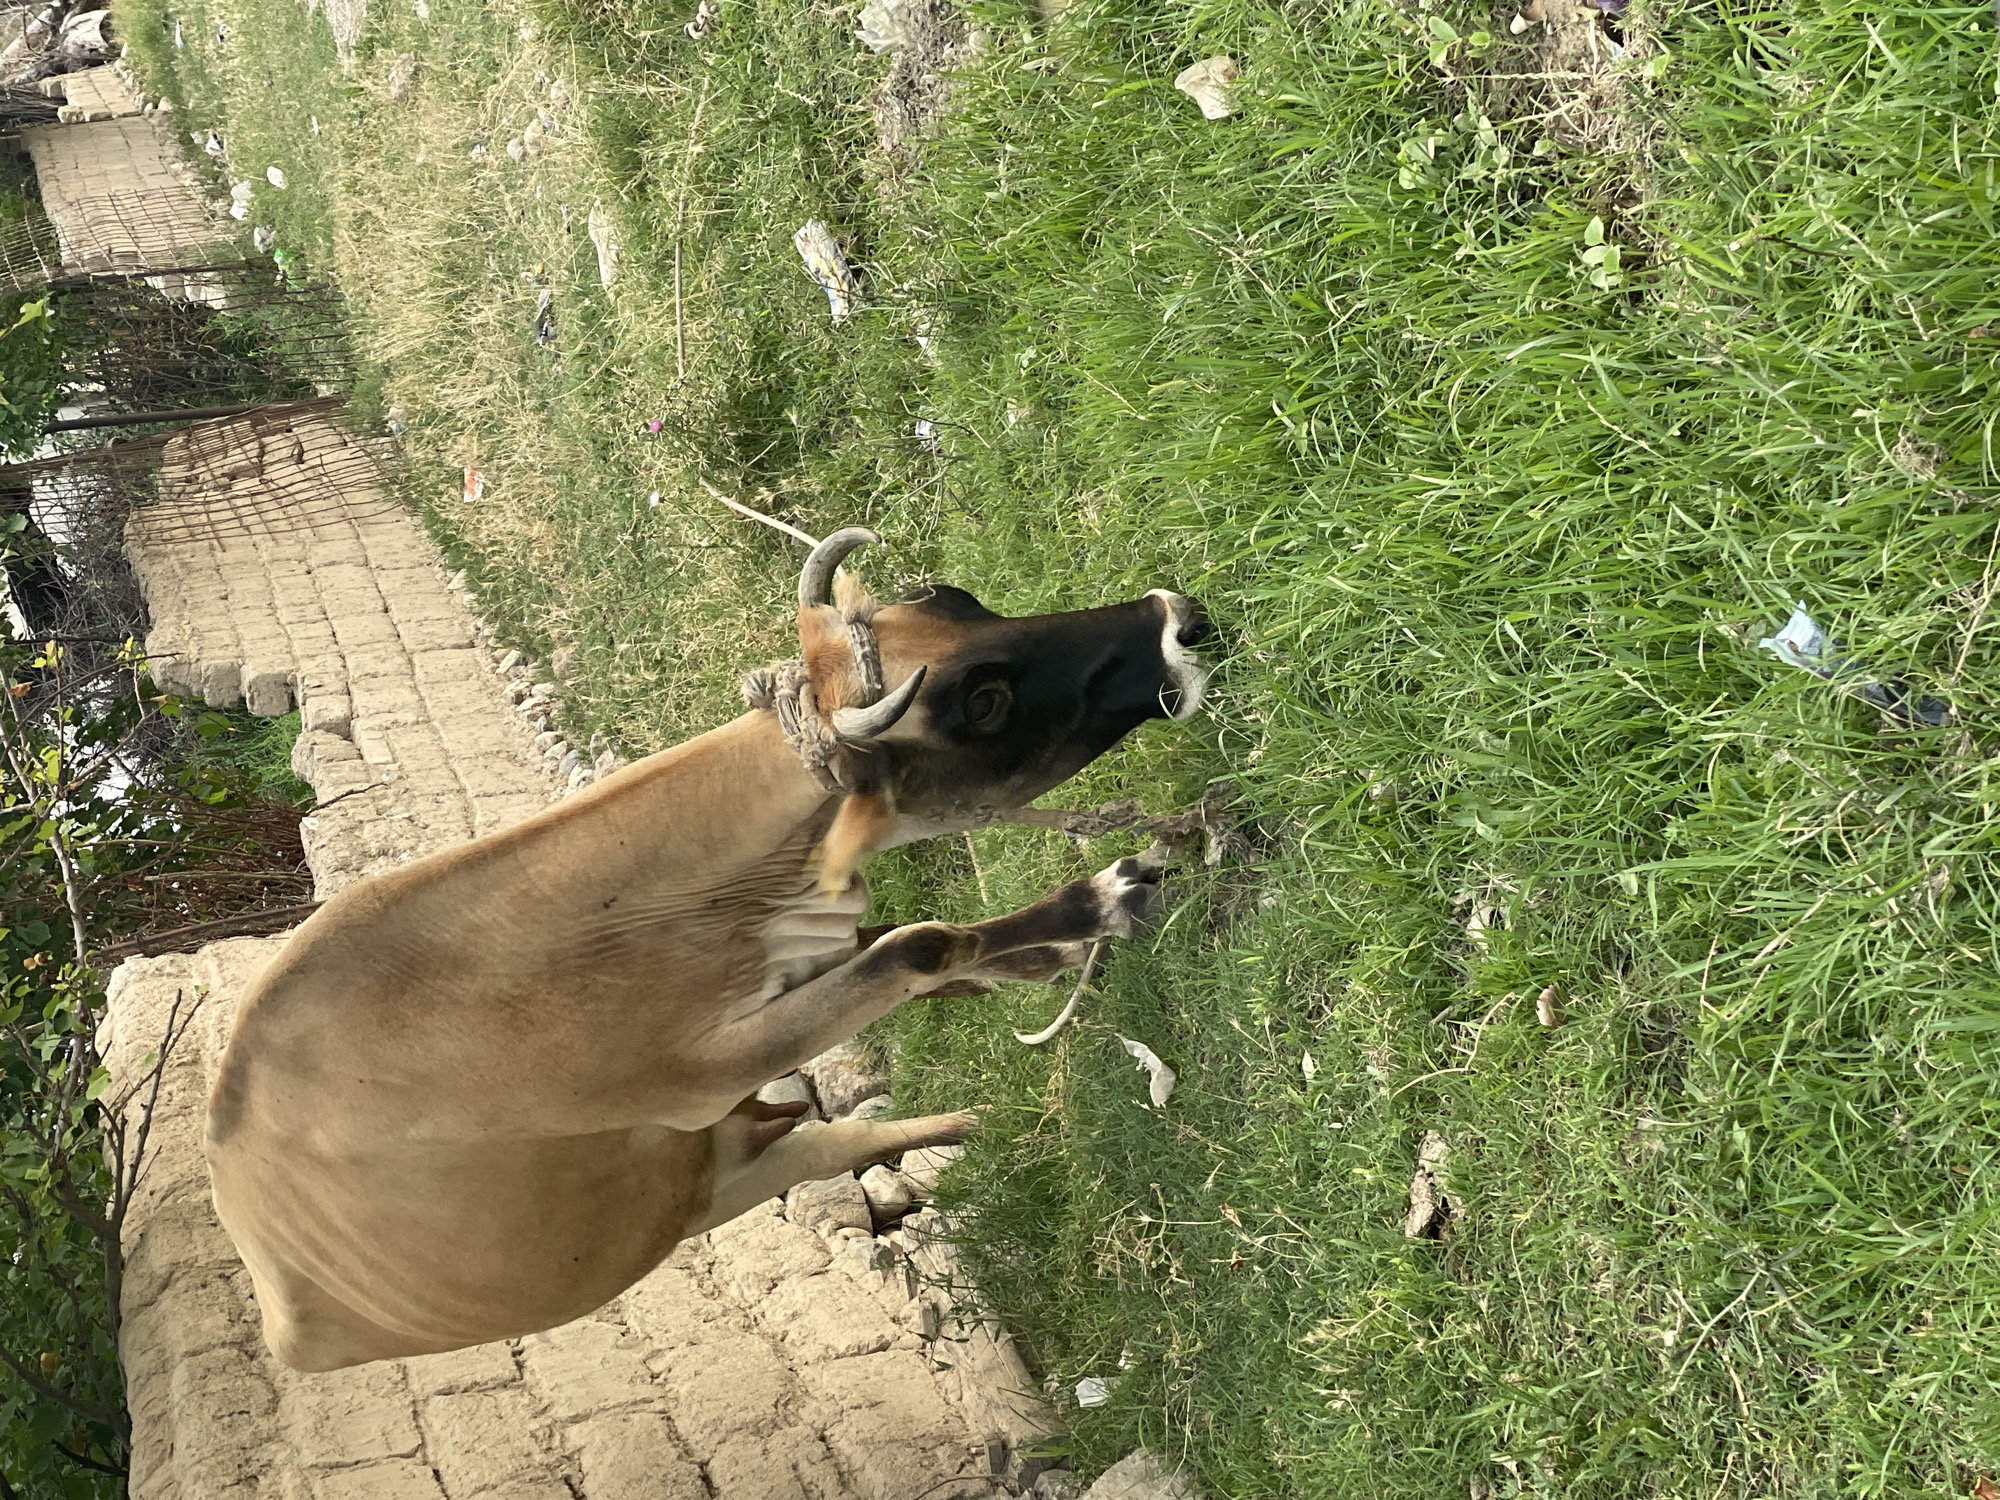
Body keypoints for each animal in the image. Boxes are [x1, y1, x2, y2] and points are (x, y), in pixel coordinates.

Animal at [204, 528, 1211, 1371]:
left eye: (957, 598)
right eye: (984, 701)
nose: (1179, 623)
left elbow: (902, 943)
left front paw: (1050, 947)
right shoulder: (705, 1071)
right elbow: (917, 946)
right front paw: (1101, 908)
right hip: (695, 1202)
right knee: (834, 1143)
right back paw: (975, 1122)